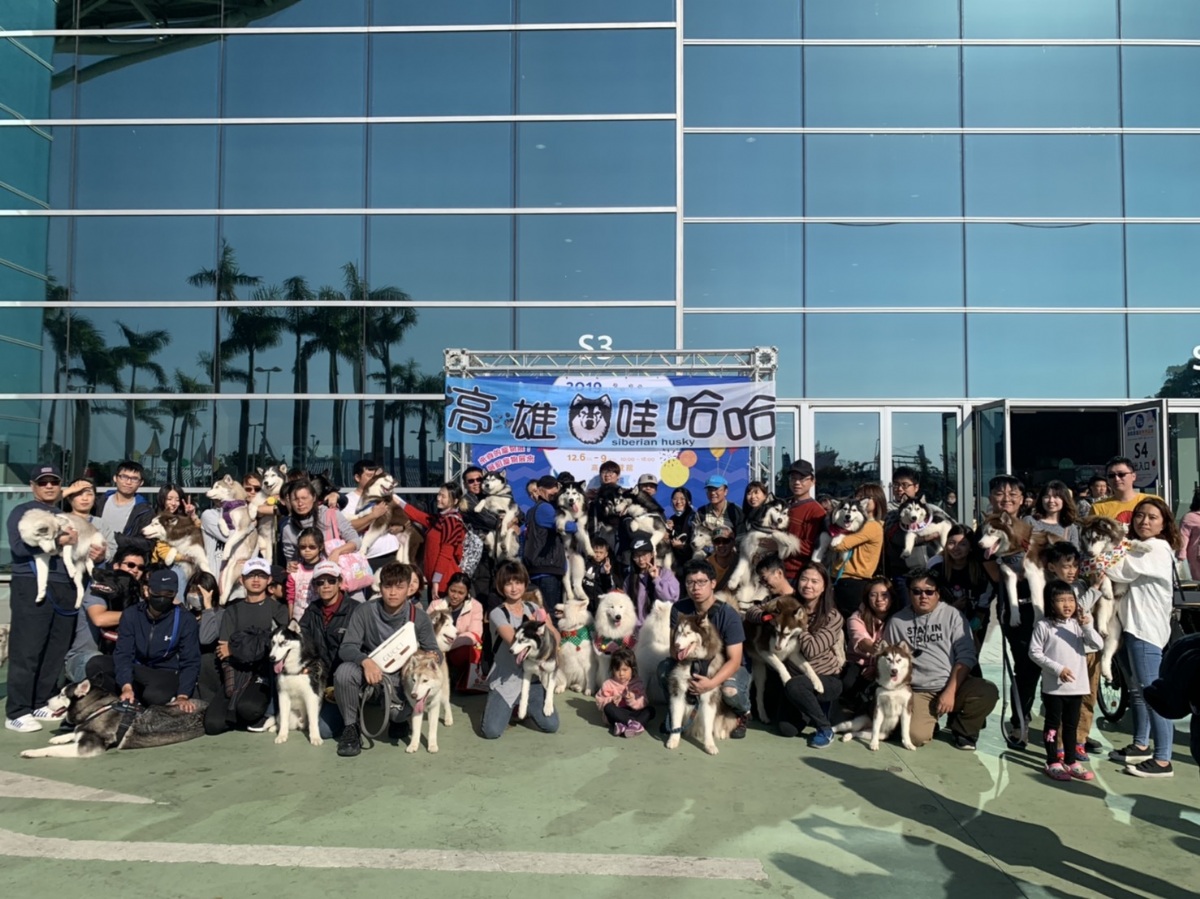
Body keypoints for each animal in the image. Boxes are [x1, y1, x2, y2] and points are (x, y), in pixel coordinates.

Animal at [19, 680, 208, 759]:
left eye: (62, 694)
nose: (46, 702)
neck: (97, 708)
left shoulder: (87, 747)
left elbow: (54, 749)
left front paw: (33, 752)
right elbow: (75, 732)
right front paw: (59, 737)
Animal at [665, 614, 740, 755]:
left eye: (688, 633)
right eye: (679, 632)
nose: (676, 645)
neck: (695, 662)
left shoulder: (708, 696)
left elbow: (708, 725)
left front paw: (710, 745)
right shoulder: (678, 693)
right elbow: (676, 720)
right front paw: (673, 739)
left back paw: (722, 732)